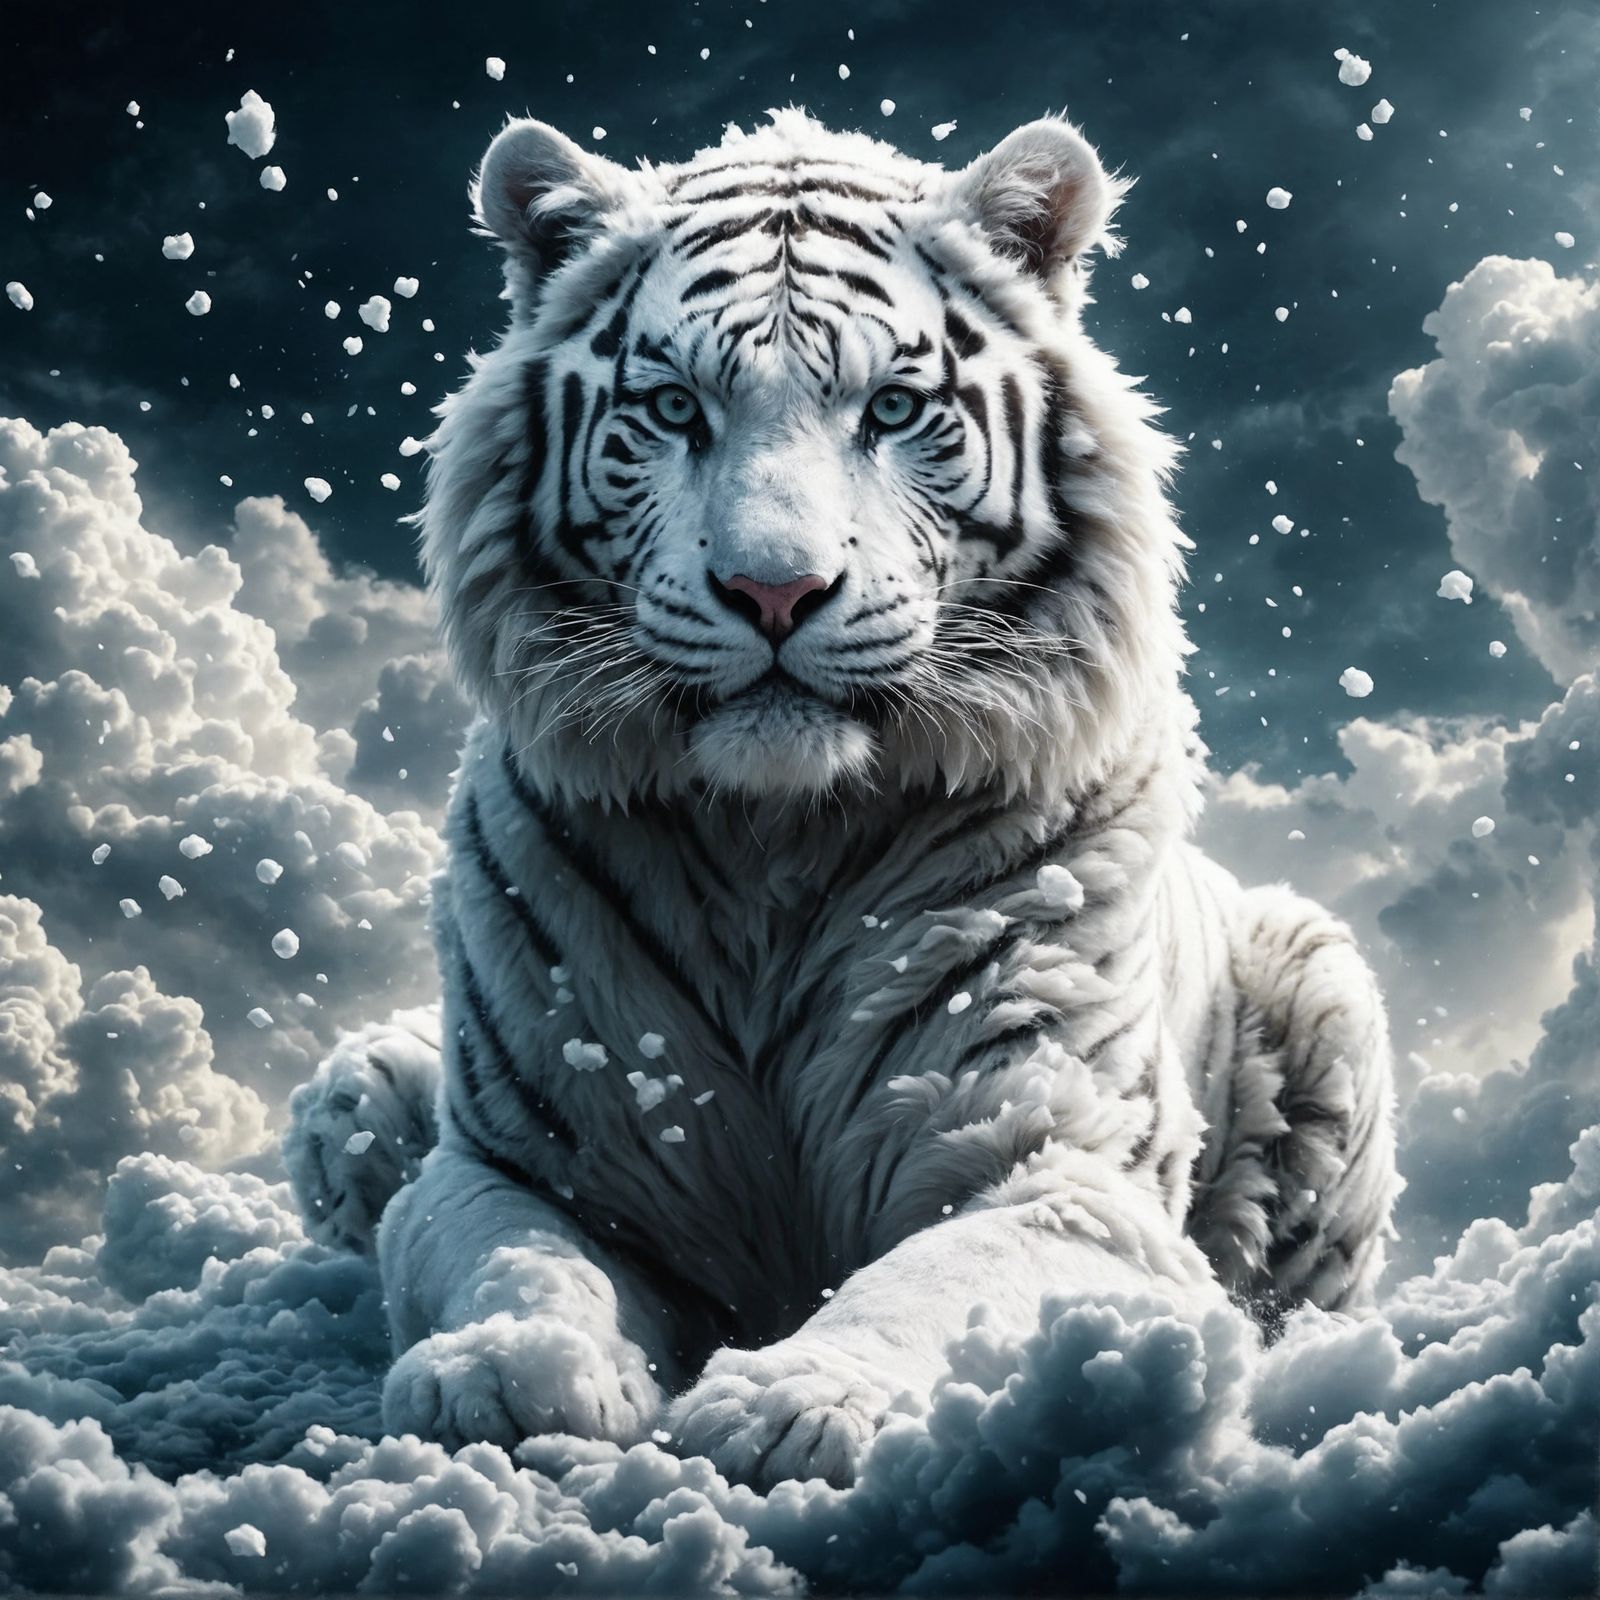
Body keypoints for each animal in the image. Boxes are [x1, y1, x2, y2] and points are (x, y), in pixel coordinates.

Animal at [284, 107, 1398, 1489]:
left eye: (894, 408)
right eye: (672, 408)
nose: (775, 590)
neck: (778, 838)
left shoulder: (1059, 1163)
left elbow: (937, 1277)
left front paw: (796, 1398)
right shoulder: (519, 1158)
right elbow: (517, 1256)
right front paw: (507, 1372)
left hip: (1323, 989)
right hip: (350, 1093)